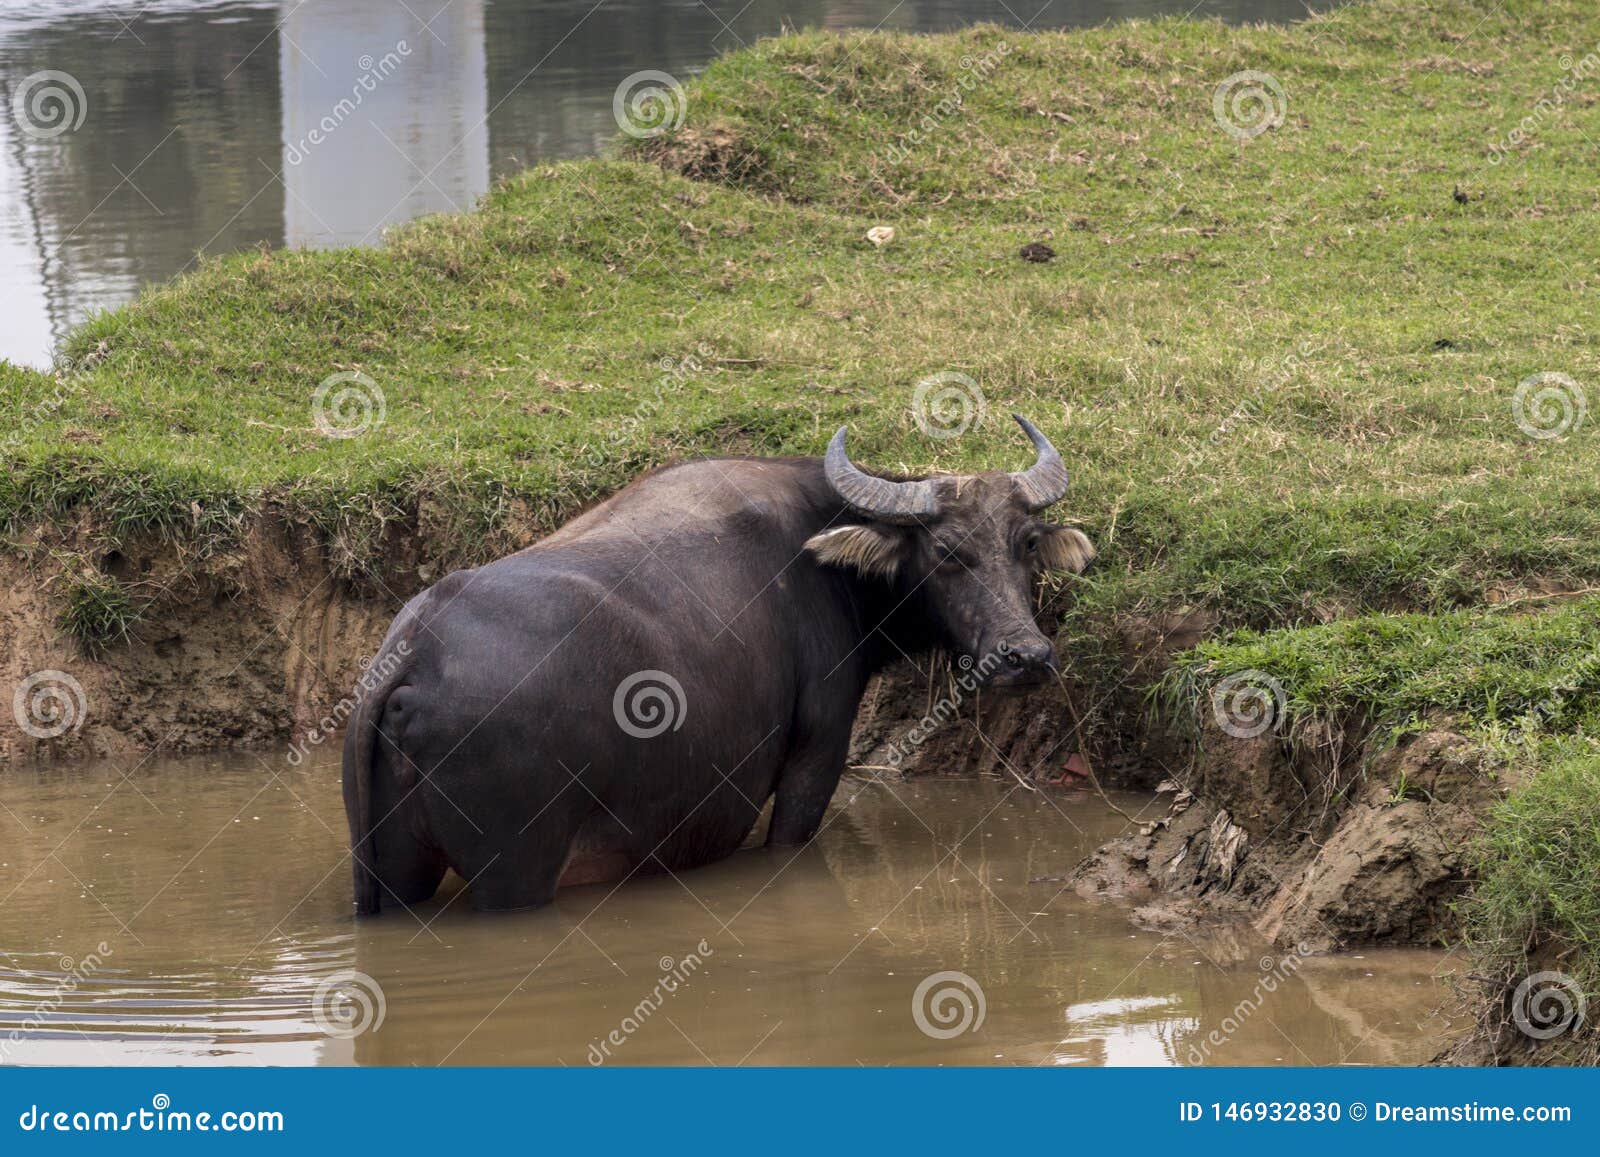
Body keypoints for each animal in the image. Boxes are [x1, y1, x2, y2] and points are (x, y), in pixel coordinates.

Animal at [342, 416, 1094, 915]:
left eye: (1026, 542)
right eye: (945, 552)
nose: (1025, 655)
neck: (825, 562)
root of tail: (412, 653)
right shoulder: (818, 751)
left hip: (394, 873)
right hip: (516, 876)